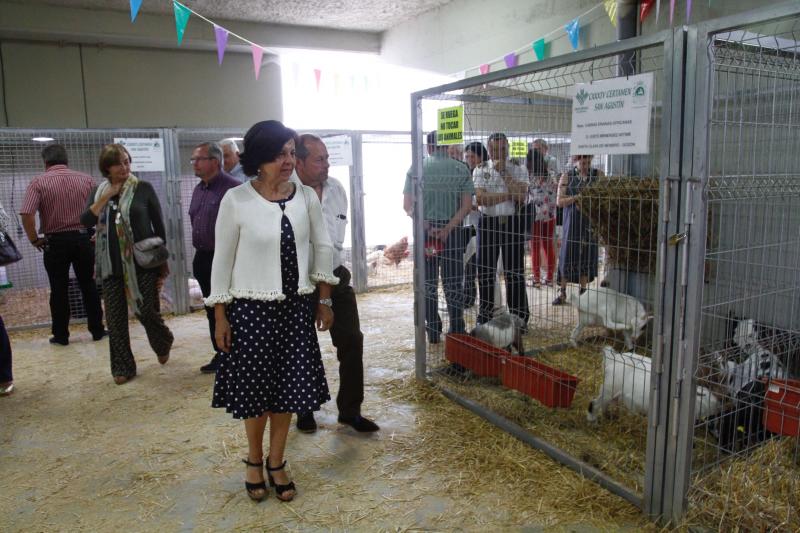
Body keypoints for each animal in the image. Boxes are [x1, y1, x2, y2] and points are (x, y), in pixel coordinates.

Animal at [584, 348, 720, 422]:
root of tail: (612, 360)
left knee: (606, 404)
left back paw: (609, 417)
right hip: (609, 388)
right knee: (595, 403)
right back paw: (592, 419)